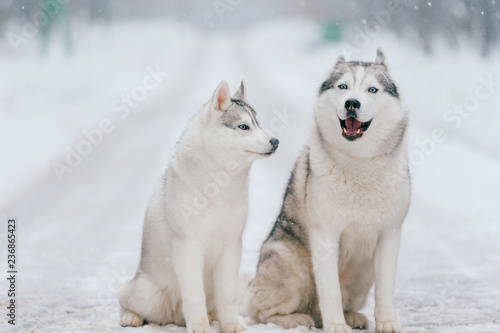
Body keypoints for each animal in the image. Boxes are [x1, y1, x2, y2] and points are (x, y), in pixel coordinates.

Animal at [119, 80, 280, 332]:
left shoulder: (232, 245)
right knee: (124, 298)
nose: (275, 141)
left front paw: (231, 325)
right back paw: (130, 317)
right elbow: (195, 296)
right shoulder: (189, 245)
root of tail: (174, 316)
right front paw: (200, 327)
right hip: (148, 295)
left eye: (258, 124)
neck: (219, 185)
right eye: (243, 127)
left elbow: (227, 295)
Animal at [249, 49, 410, 332]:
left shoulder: (389, 234)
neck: (359, 163)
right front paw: (335, 325)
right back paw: (298, 319)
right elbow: (330, 290)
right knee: (261, 313)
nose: (352, 103)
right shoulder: (326, 235)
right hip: (291, 264)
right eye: (343, 86)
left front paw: (388, 323)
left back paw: (352, 317)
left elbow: (385, 290)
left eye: (372, 89)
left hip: (363, 272)